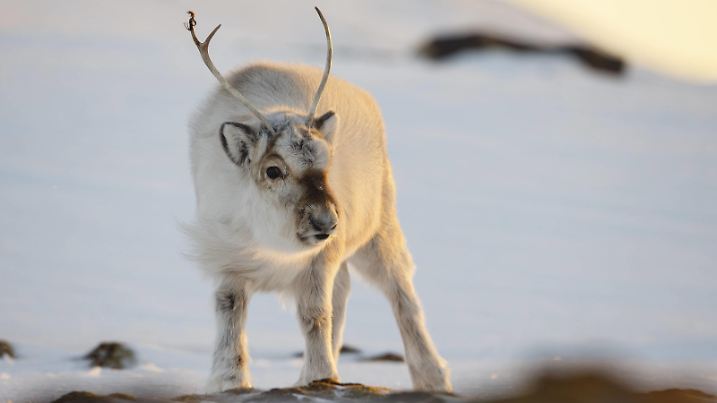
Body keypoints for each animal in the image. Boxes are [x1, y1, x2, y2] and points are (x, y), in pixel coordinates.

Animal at [184, 8, 452, 393]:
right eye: (273, 170)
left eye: (327, 159)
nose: (327, 222)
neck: (272, 244)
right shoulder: (228, 258)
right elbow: (230, 308)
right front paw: (228, 380)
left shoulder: (319, 260)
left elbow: (315, 315)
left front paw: (321, 375)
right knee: (344, 293)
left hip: (378, 233)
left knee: (402, 297)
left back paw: (433, 377)